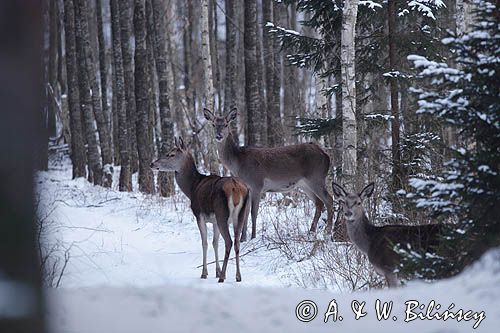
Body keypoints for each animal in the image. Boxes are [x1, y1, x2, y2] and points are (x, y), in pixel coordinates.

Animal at [149, 136, 249, 282]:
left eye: (171, 154)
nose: (152, 164)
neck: (192, 187)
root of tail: (236, 188)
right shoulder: (214, 221)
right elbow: (214, 243)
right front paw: (217, 271)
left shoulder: (199, 215)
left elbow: (204, 243)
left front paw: (205, 273)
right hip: (240, 214)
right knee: (236, 242)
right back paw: (238, 276)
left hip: (222, 213)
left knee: (229, 242)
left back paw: (223, 277)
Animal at [201, 107, 334, 240]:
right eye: (213, 124)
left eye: (226, 124)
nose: (218, 136)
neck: (238, 163)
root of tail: (326, 155)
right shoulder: (247, 189)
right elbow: (245, 214)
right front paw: (243, 239)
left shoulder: (257, 184)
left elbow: (253, 212)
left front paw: (253, 237)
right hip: (304, 184)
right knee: (319, 203)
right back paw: (311, 231)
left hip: (316, 177)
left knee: (329, 199)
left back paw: (327, 232)